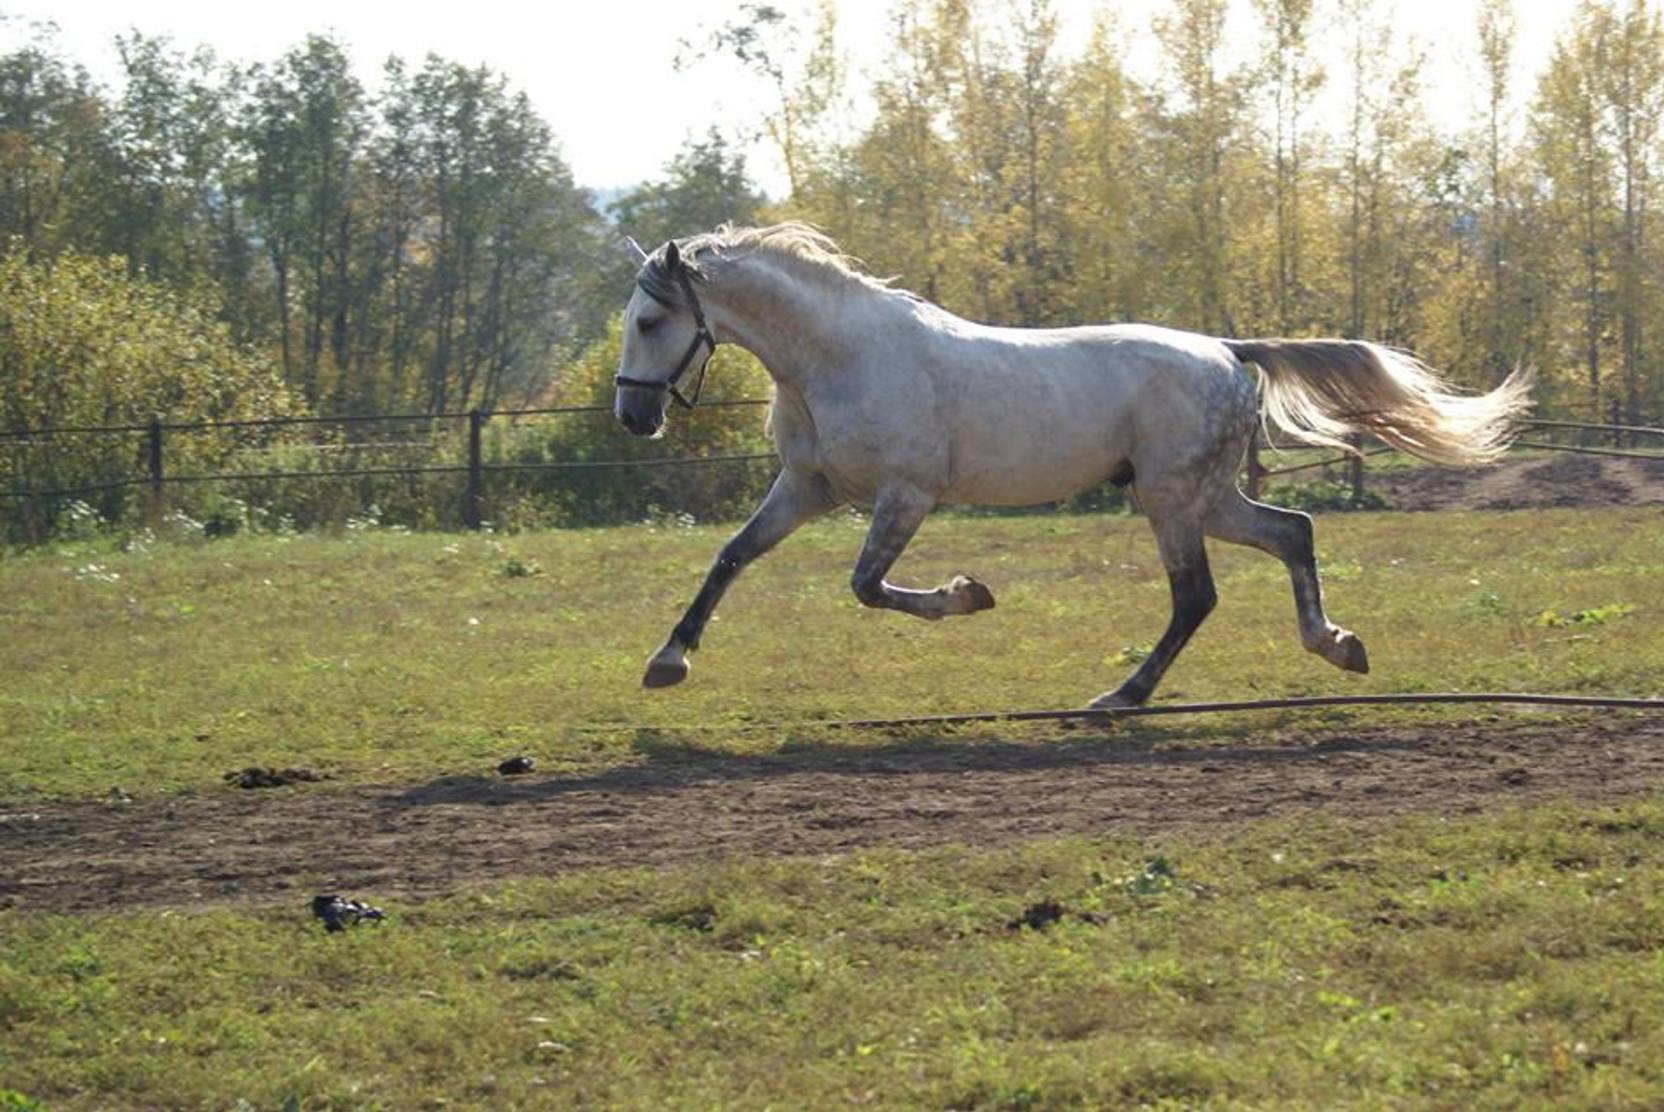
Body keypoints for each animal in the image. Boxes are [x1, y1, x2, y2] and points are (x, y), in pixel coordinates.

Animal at [609, 224, 1524, 709]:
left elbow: (868, 585)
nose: (632, 416)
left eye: (652, 320)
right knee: (1292, 532)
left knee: (1197, 594)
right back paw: (1336, 646)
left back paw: (1124, 696)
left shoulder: (907, 494)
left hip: (1171, 498)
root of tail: (1227, 351)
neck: (837, 357)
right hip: (1205, 497)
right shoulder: (807, 488)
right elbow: (730, 557)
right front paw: (668, 661)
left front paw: (968, 595)